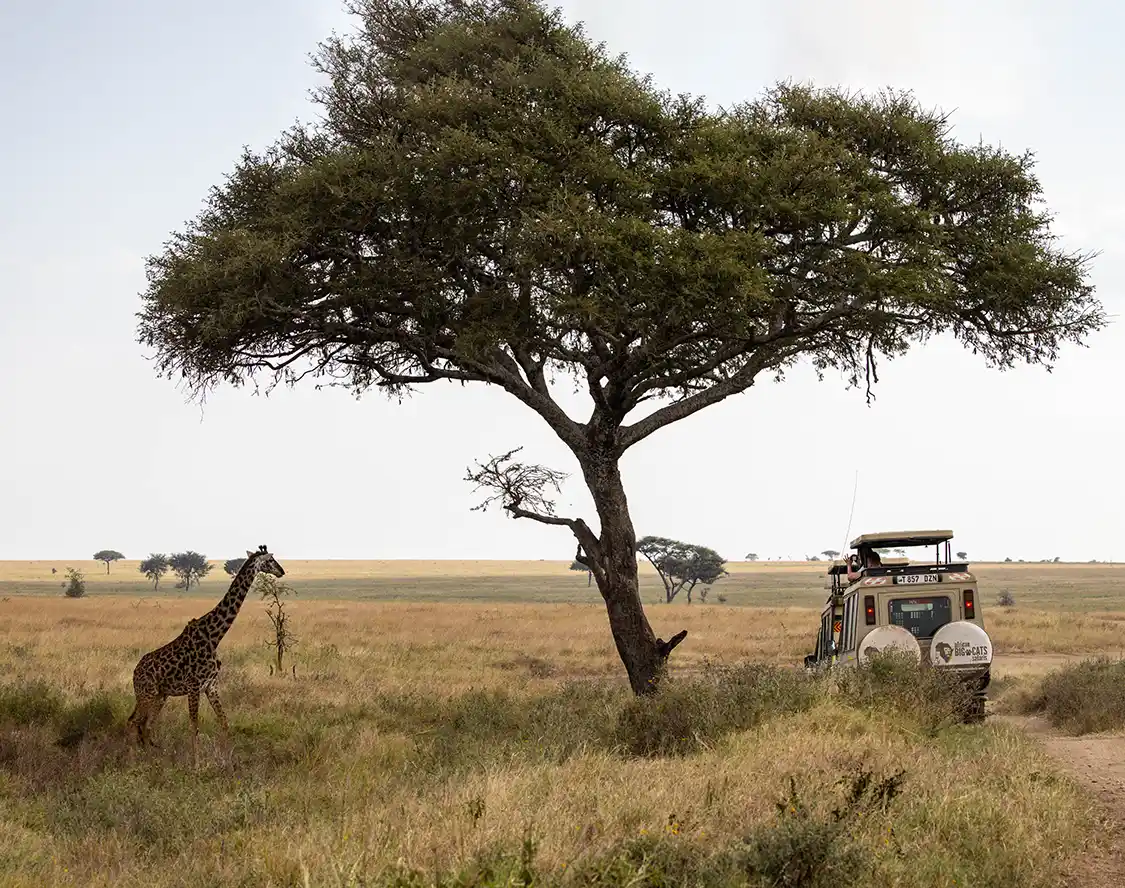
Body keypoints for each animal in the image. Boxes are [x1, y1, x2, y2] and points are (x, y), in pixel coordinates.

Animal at [125, 544, 285, 762]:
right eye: (270, 560)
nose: (282, 571)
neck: (214, 636)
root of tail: (135, 672)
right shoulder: (194, 686)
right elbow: (194, 726)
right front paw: (196, 765)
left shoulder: (211, 686)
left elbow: (224, 722)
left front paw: (229, 760)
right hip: (146, 693)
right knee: (133, 722)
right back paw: (133, 760)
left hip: (160, 695)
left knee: (146, 724)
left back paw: (151, 759)